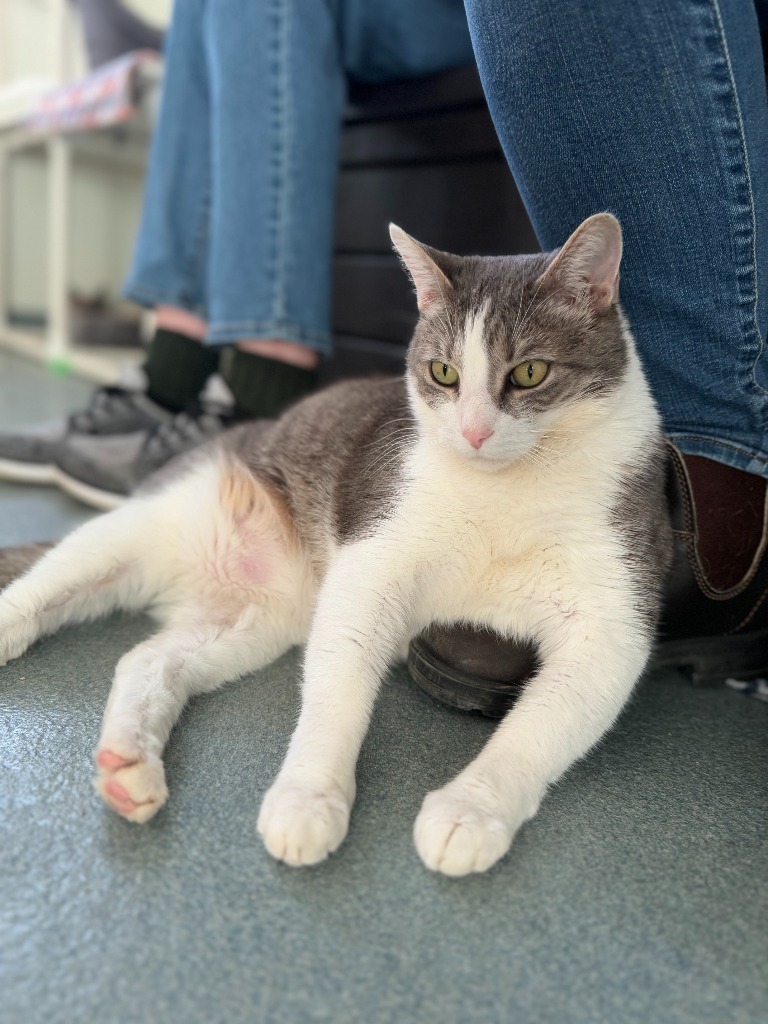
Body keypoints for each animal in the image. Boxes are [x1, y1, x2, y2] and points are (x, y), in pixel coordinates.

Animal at [0, 214, 671, 872]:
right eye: (444, 373)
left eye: (529, 372)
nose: (475, 432)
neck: (504, 489)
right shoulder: (370, 563)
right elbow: (337, 696)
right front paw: (308, 798)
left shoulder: (613, 621)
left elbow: (534, 732)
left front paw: (469, 813)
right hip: (150, 520)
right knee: (47, 585)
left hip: (251, 622)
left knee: (147, 662)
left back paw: (129, 767)